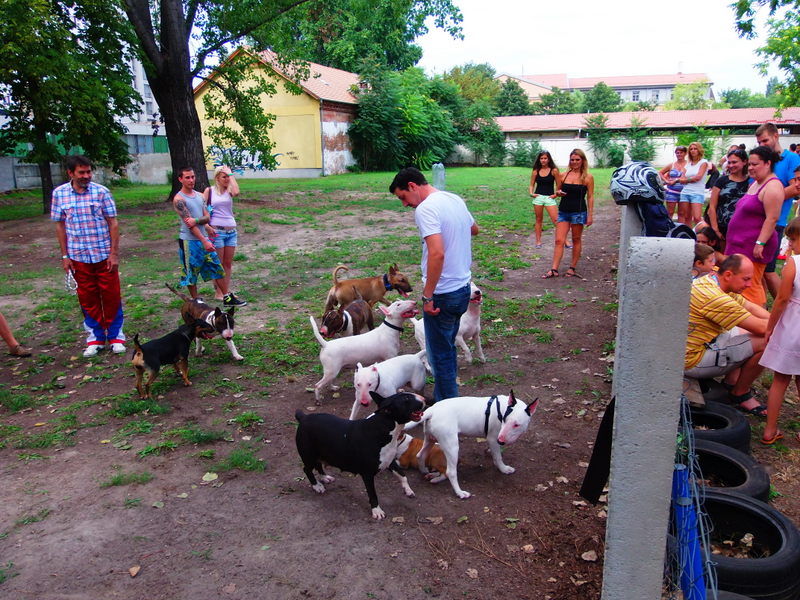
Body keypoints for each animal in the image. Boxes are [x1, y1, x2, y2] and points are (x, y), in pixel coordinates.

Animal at [296, 392, 424, 516]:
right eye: (406, 399)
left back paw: (324, 477)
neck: (383, 427)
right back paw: (317, 486)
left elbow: (402, 475)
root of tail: (303, 417)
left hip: (318, 453)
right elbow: (372, 494)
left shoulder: (389, 461)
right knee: (307, 469)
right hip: (309, 455)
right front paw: (376, 511)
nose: (424, 398)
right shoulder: (367, 474)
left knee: (318, 464)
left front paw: (408, 490)